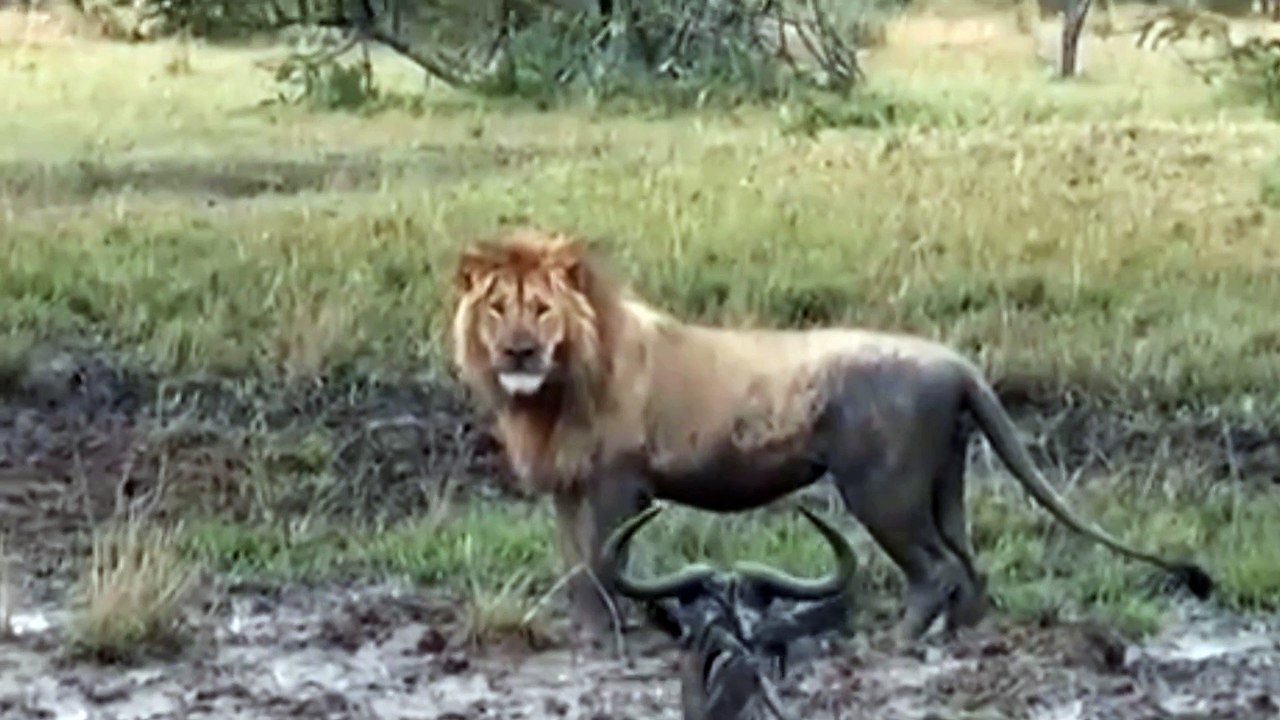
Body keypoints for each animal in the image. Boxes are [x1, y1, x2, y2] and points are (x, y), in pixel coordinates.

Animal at [450, 228, 1213, 646]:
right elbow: (573, 563)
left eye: (541, 310)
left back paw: (899, 642)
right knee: (970, 564)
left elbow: (599, 565)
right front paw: (583, 631)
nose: (518, 351)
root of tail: (957, 363)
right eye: (497, 309)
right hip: (946, 480)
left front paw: (603, 633)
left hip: (884, 489)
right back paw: (966, 640)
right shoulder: (569, 485)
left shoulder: (618, 483)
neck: (550, 392)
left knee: (936, 568)